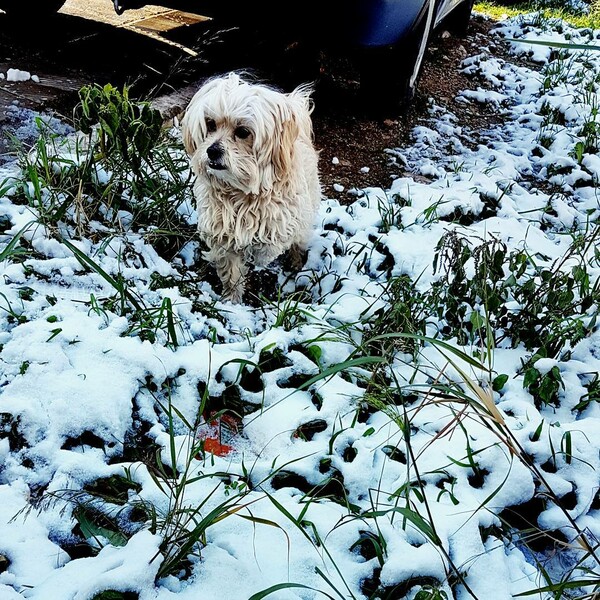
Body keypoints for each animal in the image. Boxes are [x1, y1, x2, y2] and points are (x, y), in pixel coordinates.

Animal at [182, 72, 324, 302]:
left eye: (242, 132)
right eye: (210, 124)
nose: (212, 151)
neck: (242, 192)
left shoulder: (284, 222)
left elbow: (269, 246)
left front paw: (259, 258)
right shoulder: (222, 237)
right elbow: (231, 272)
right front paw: (231, 300)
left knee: (299, 241)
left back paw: (295, 260)